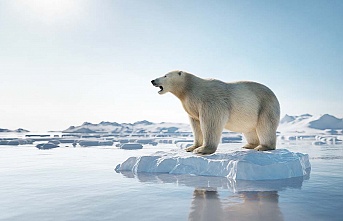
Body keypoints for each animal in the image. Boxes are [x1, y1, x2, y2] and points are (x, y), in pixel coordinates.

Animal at [152, 70, 280, 154]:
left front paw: (202, 149)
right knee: (249, 129)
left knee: (265, 126)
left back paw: (263, 147)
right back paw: (248, 145)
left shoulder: (210, 101)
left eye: (165, 75)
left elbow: (211, 122)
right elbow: (196, 125)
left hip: (265, 106)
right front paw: (191, 147)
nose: (153, 80)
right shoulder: (192, 106)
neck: (190, 88)